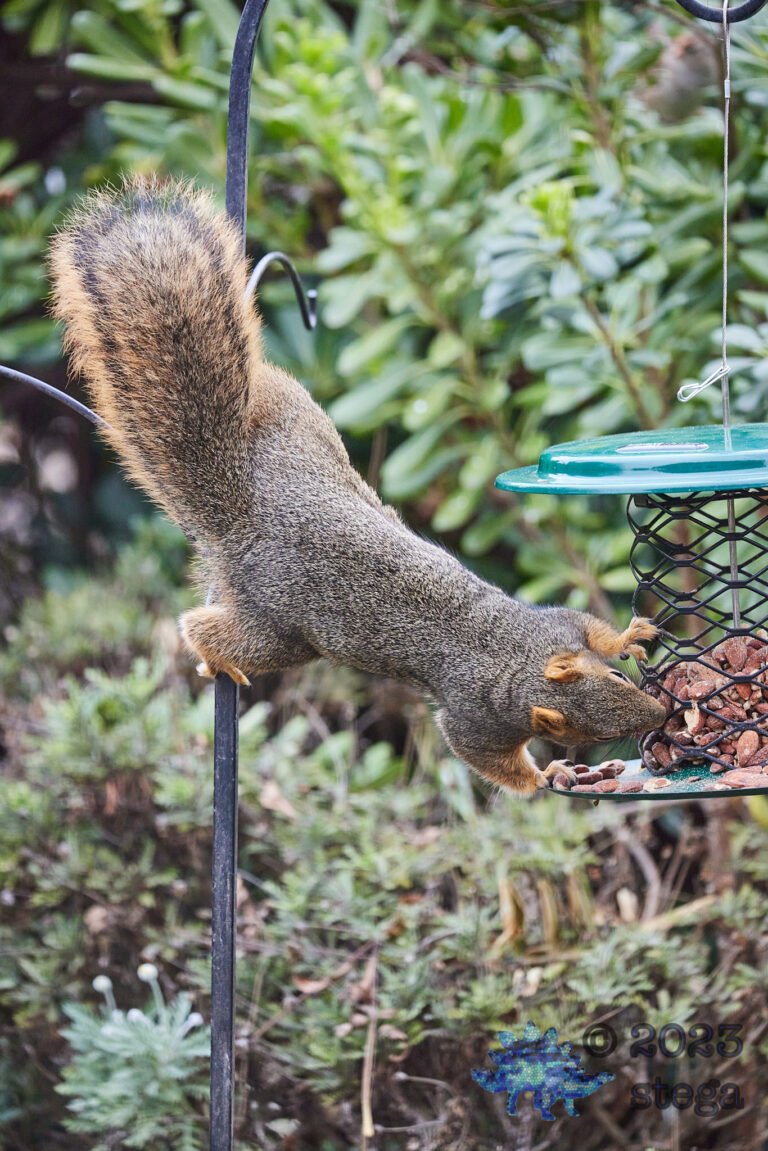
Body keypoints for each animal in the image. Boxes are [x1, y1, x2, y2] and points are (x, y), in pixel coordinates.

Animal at [49, 176, 667, 795]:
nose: (659, 714)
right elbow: (488, 758)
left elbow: (588, 625)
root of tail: (248, 511)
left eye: (620, 679)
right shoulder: (474, 717)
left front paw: (628, 634)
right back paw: (214, 654)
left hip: (296, 420)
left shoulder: (553, 626)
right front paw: (547, 775)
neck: (515, 662)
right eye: (586, 732)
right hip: (278, 631)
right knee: (209, 628)